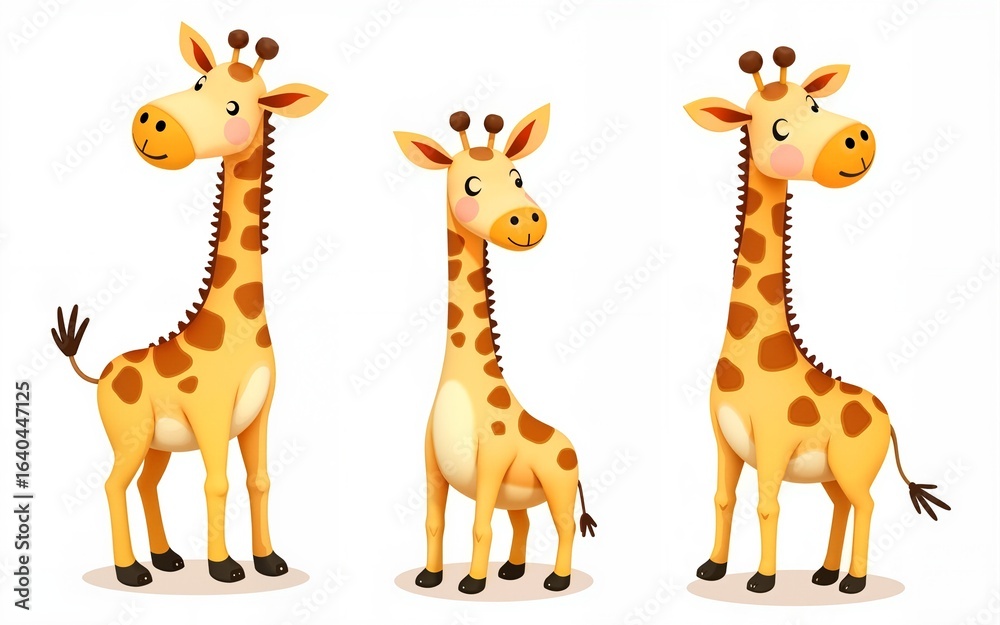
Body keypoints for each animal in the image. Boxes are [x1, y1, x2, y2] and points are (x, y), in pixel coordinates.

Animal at [50, 23, 325, 587]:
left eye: (236, 106)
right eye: (199, 81)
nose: (152, 123)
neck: (239, 323)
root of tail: (101, 372)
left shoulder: (260, 412)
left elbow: (259, 480)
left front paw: (269, 561)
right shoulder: (213, 413)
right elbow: (217, 483)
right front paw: (225, 567)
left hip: (157, 442)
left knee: (144, 484)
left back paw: (166, 559)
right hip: (128, 435)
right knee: (113, 484)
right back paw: (132, 570)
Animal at [394, 106, 597, 595]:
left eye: (517, 176)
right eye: (471, 184)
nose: (527, 220)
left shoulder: (491, 463)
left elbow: (478, 527)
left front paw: (471, 584)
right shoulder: (431, 465)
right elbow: (434, 523)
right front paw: (431, 577)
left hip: (559, 484)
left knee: (564, 525)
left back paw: (556, 580)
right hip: (519, 494)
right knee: (523, 524)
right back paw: (512, 571)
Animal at [684, 47, 950, 594]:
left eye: (813, 102)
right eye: (779, 127)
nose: (857, 140)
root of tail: (887, 417)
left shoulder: (771, 442)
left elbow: (767, 505)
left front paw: (762, 580)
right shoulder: (723, 440)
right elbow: (723, 499)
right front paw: (713, 567)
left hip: (853, 465)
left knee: (866, 503)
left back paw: (853, 581)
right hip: (831, 472)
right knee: (843, 505)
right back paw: (826, 574)